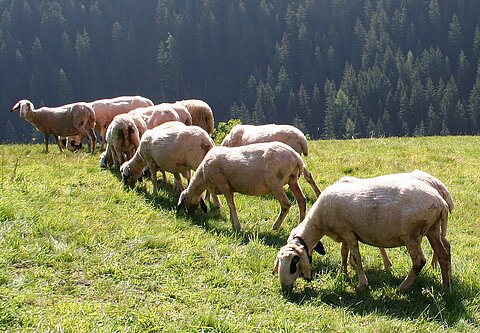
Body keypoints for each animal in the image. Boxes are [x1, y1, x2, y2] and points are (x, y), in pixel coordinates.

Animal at [177, 141, 308, 232]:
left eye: (184, 202)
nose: (190, 215)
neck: (203, 177)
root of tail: (296, 157)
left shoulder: (224, 185)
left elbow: (231, 205)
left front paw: (237, 226)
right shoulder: (230, 188)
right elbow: (231, 205)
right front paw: (232, 221)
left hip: (275, 183)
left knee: (286, 204)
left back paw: (275, 226)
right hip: (292, 179)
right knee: (302, 200)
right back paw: (300, 224)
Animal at [276, 172, 452, 292]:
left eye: (294, 262)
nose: (285, 288)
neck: (319, 222)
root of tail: (441, 202)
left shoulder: (349, 234)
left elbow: (356, 257)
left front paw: (362, 284)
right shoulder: (345, 233)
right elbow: (343, 253)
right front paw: (343, 273)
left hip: (412, 236)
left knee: (419, 261)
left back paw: (403, 287)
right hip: (433, 229)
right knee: (443, 254)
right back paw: (446, 286)